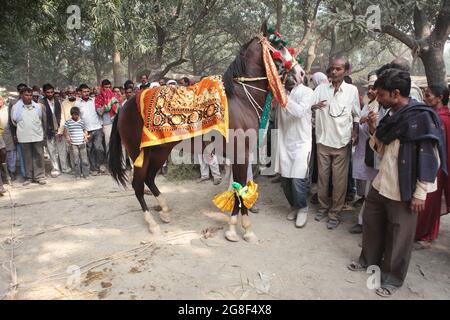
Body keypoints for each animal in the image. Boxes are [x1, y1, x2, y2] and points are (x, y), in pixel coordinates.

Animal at [109, 24, 304, 242]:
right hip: (139, 154)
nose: (301, 74)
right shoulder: (241, 154)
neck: (241, 99)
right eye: (278, 46)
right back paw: (152, 224)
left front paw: (236, 226)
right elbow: (240, 188)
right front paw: (241, 229)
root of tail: (124, 106)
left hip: (159, 151)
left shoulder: (240, 155)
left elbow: (237, 187)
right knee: (138, 185)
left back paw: (165, 211)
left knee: (149, 179)